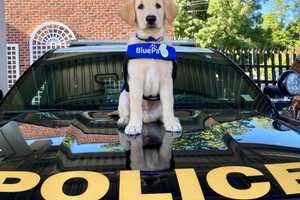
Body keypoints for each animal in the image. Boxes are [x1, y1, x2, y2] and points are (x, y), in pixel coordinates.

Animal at [118, 0, 182, 135]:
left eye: (158, 5)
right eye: (140, 6)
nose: (151, 18)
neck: (150, 41)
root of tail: (147, 118)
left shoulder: (166, 80)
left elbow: (168, 105)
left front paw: (171, 124)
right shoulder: (136, 80)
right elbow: (135, 106)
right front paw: (134, 126)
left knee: (164, 113)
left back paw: (173, 120)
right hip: (123, 96)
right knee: (126, 112)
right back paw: (125, 121)